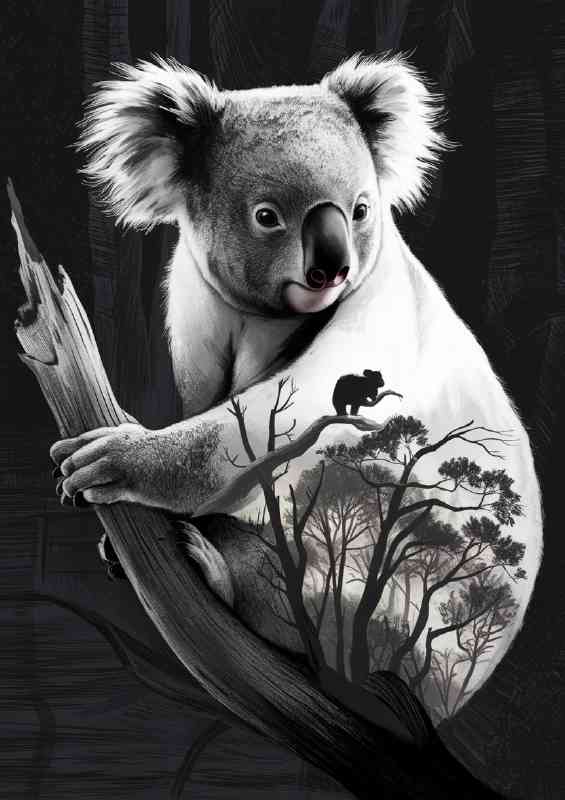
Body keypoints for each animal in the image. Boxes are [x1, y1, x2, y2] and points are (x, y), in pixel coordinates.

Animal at [50, 54, 542, 692]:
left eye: (360, 209)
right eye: (267, 217)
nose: (332, 267)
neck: (264, 320)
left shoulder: (373, 327)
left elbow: (258, 430)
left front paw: (112, 456)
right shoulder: (193, 314)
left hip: (352, 581)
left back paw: (216, 573)